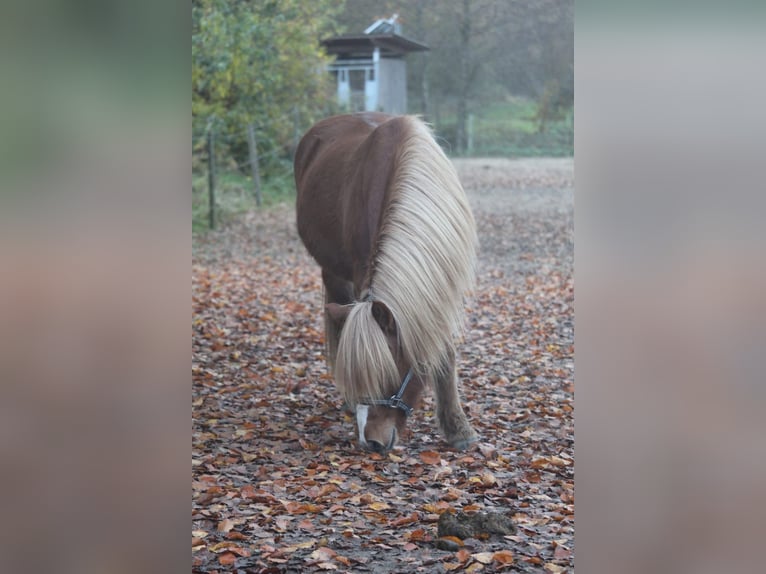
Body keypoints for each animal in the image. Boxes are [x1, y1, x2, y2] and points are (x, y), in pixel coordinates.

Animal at [294, 112, 478, 453]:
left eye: (388, 374)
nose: (372, 442)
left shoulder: (442, 284)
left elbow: (445, 352)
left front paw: (459, 429)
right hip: (332, 272)